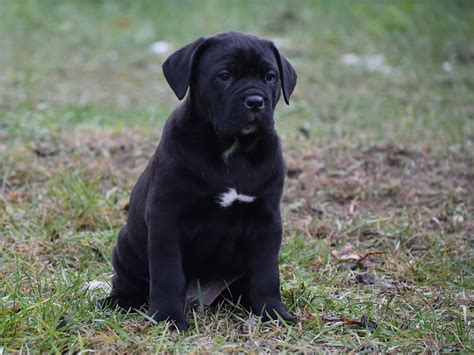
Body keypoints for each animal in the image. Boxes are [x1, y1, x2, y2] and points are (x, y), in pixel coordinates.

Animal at [103, 31, 296, 334]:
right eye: (225, 75)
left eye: (270, 76)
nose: (255, 101)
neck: (232, 150)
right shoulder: (166, 219)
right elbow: (168, 274)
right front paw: (168, 318)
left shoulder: (266, 221)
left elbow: (267, 273)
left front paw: (274, 313)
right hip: (126, 246)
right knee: (129, 283)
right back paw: (117, 303)